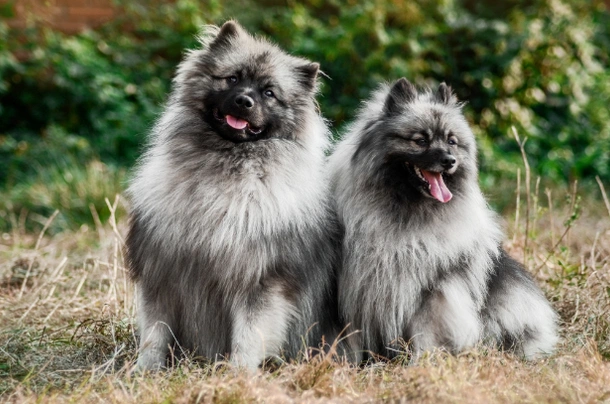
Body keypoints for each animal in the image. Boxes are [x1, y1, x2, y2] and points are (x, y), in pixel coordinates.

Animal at [125, 20, 340, 370]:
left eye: (269, 92)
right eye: (233, 78)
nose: (243, 102)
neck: (225, 165)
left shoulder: (261, 283)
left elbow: (248, 337)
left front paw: (238, 374)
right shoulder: (161, 276)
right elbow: (154, 335)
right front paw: (145, 371)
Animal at [328, 77, 556, 362]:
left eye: (451, 141)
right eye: (420, 140)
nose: (449, 160)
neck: (406, 211)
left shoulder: (434, 289)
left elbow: (427, 329)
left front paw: (422, 361)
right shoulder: (358, 287)